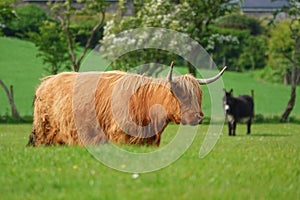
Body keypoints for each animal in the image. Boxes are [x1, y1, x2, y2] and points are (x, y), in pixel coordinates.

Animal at [28, 65, 226, 146]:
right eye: (181, 95)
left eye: (199, 96)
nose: (198, 117)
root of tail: (46, 82)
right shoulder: (119, 136)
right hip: (43, 132)